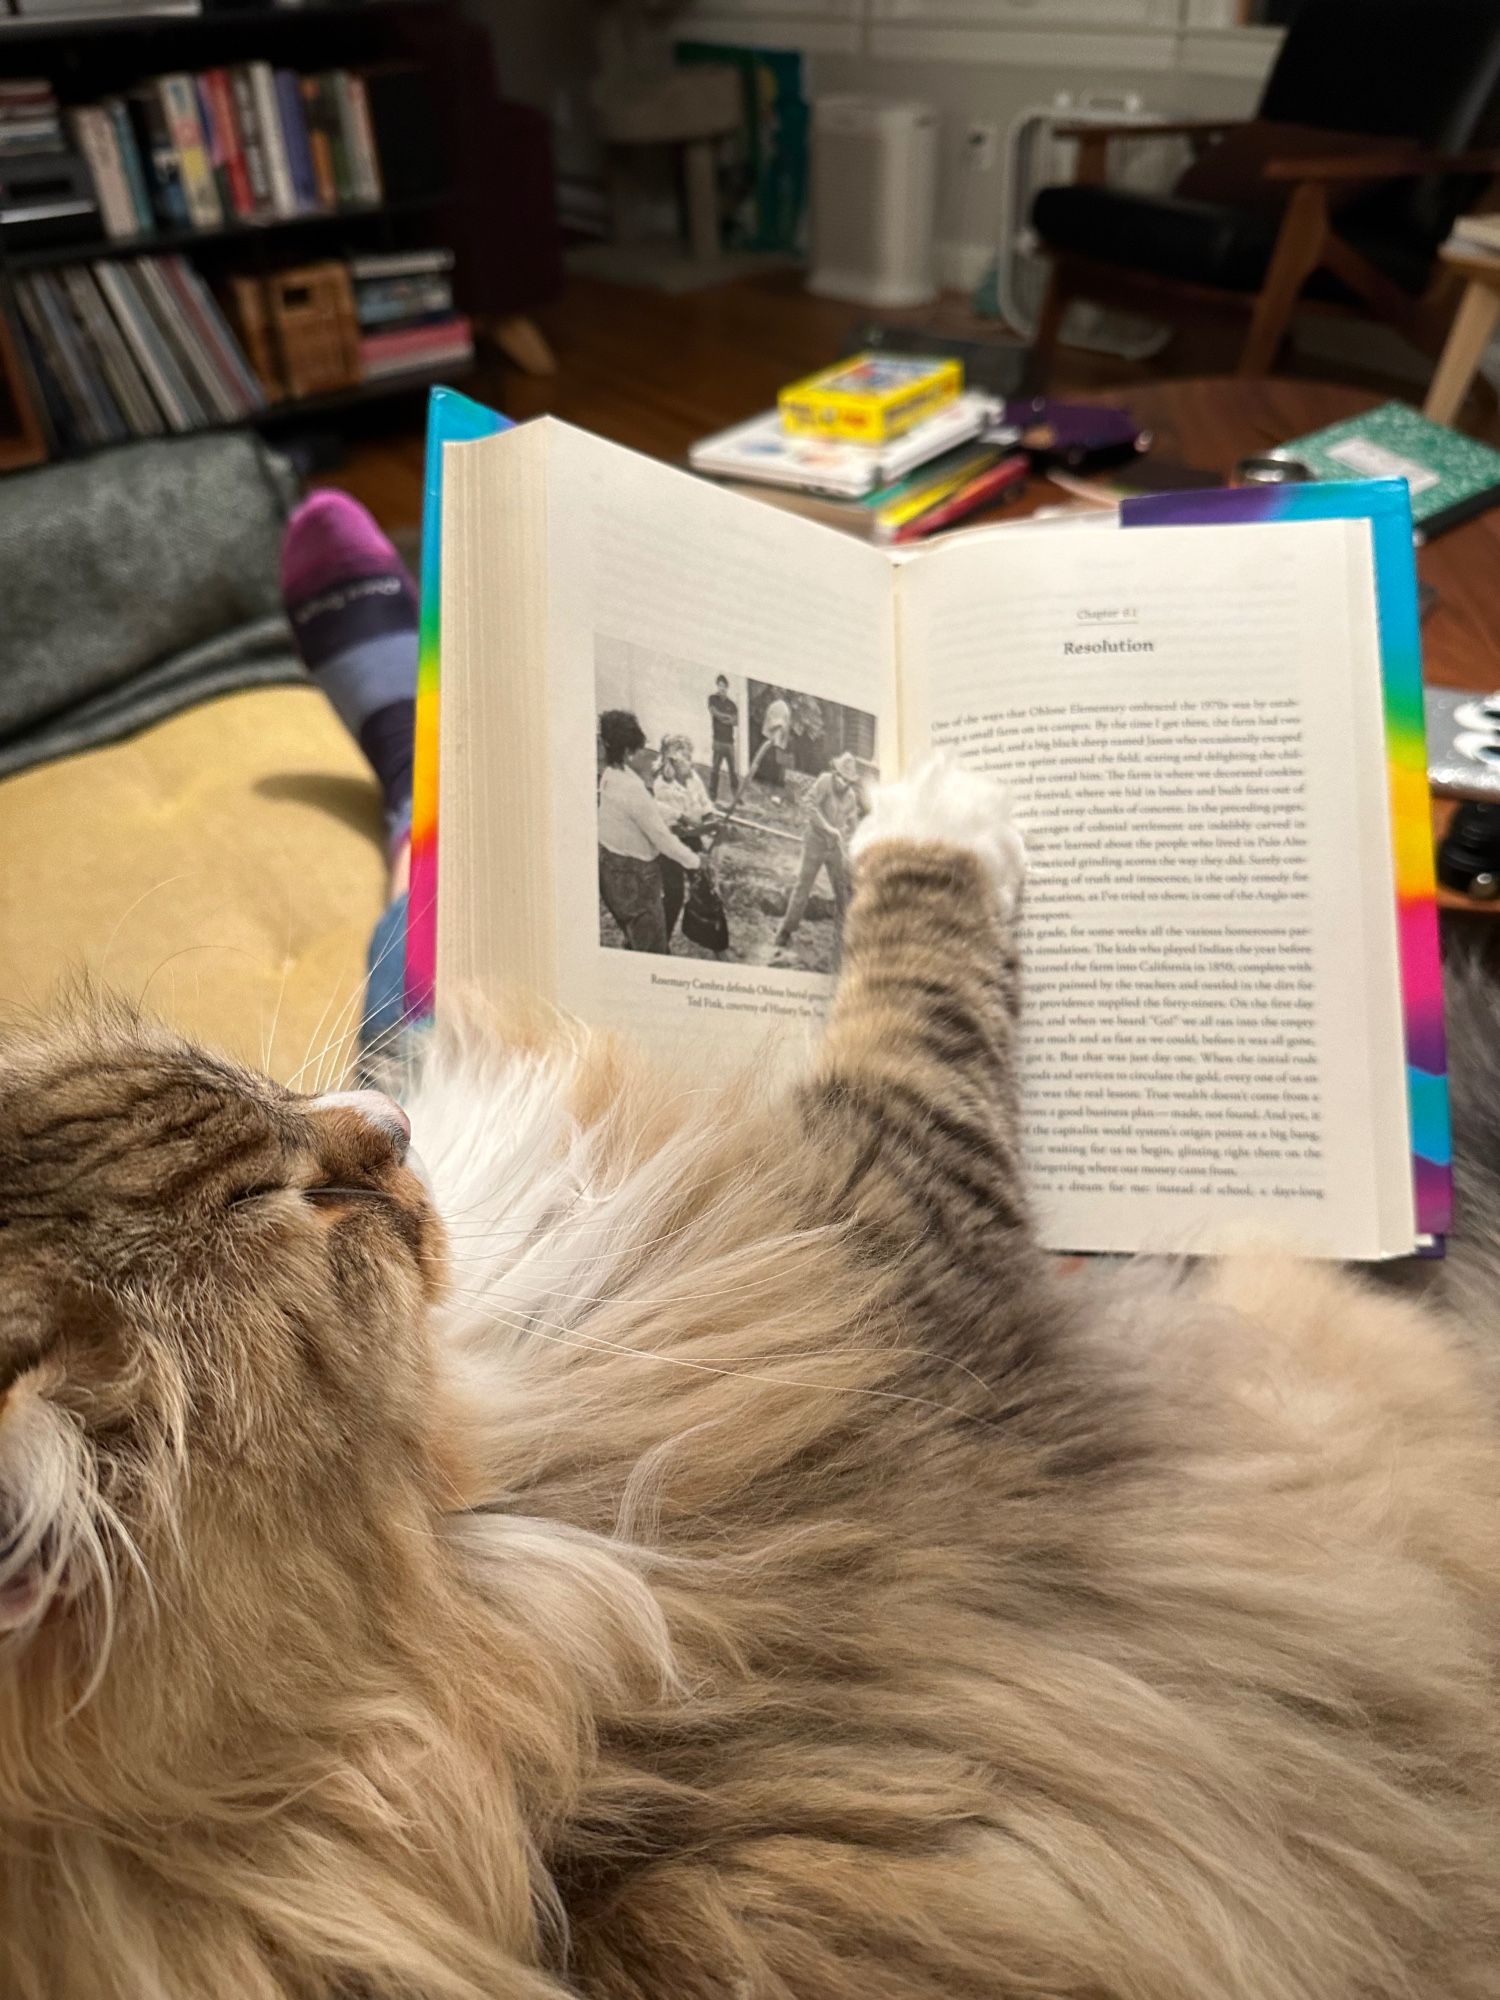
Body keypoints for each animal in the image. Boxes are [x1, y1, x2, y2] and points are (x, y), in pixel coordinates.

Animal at [2, 756, 1500, 1992]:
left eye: (249, 1080)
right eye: (306, 1204)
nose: (391, 1116)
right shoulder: (890, 1232)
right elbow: (920, 994)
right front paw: (927, 804)